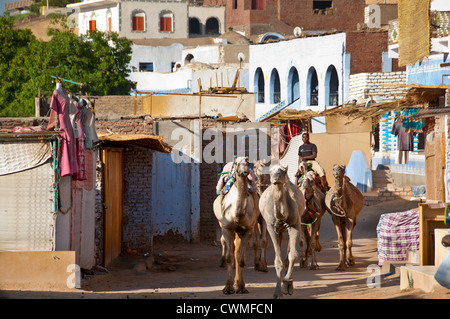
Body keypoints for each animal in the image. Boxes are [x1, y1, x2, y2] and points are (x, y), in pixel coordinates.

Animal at [214, 158, 260, 296]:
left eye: (248, 162)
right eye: (237, 163)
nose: (245, 170)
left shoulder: (248, 230)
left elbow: (241, 259)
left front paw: (241, 287)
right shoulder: (227, 228)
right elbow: (230, 257)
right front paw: (227, 288)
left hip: (240, 231)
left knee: (238, 253)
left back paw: (236, 283)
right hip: (222, 223)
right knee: (229, 248)